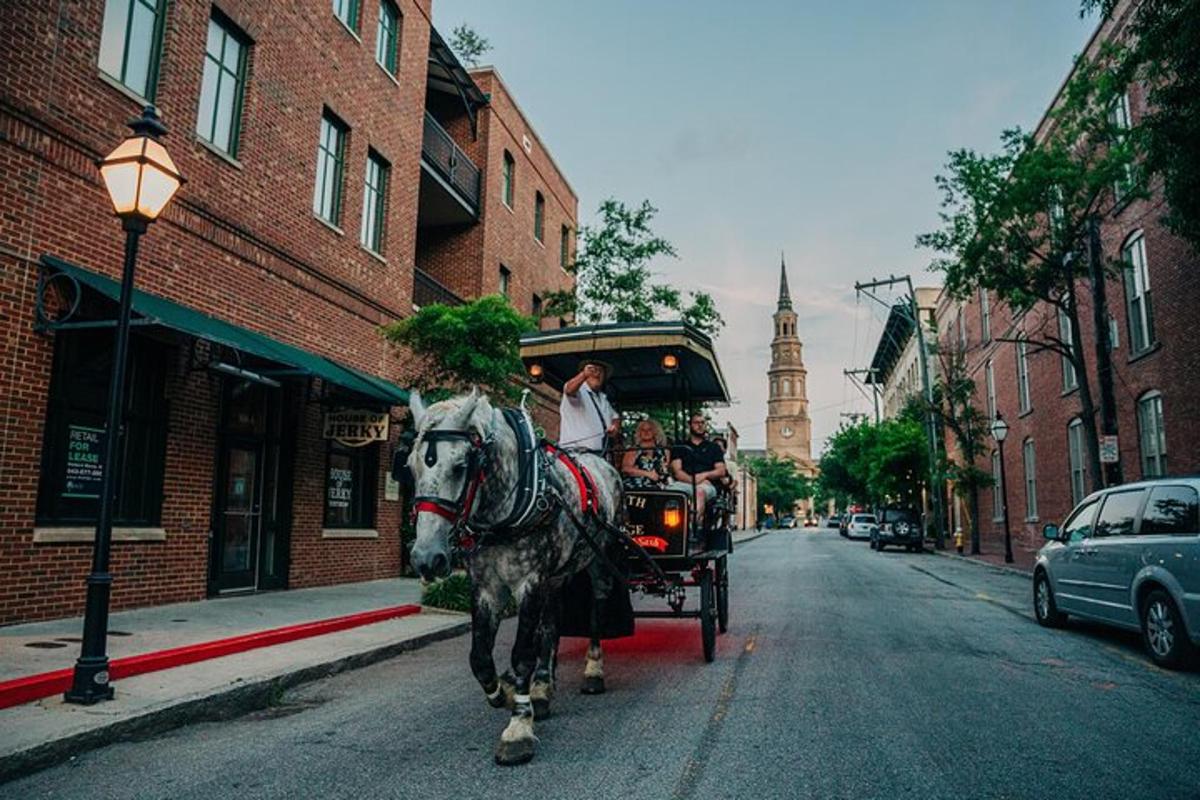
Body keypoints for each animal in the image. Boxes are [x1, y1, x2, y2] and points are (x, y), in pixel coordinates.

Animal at [408, 391, 624, 767]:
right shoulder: (485, 586)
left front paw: (518, 727)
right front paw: (507, 693)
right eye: (410, 466)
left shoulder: (530, 581)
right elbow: (480, 657)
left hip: (598, 558)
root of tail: (602, 462)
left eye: (460, 466)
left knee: (597, 608)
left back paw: (593, 671)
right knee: (552, 622)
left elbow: (522, 652)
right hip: (557, 574)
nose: (426, 557)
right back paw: (542, 687)